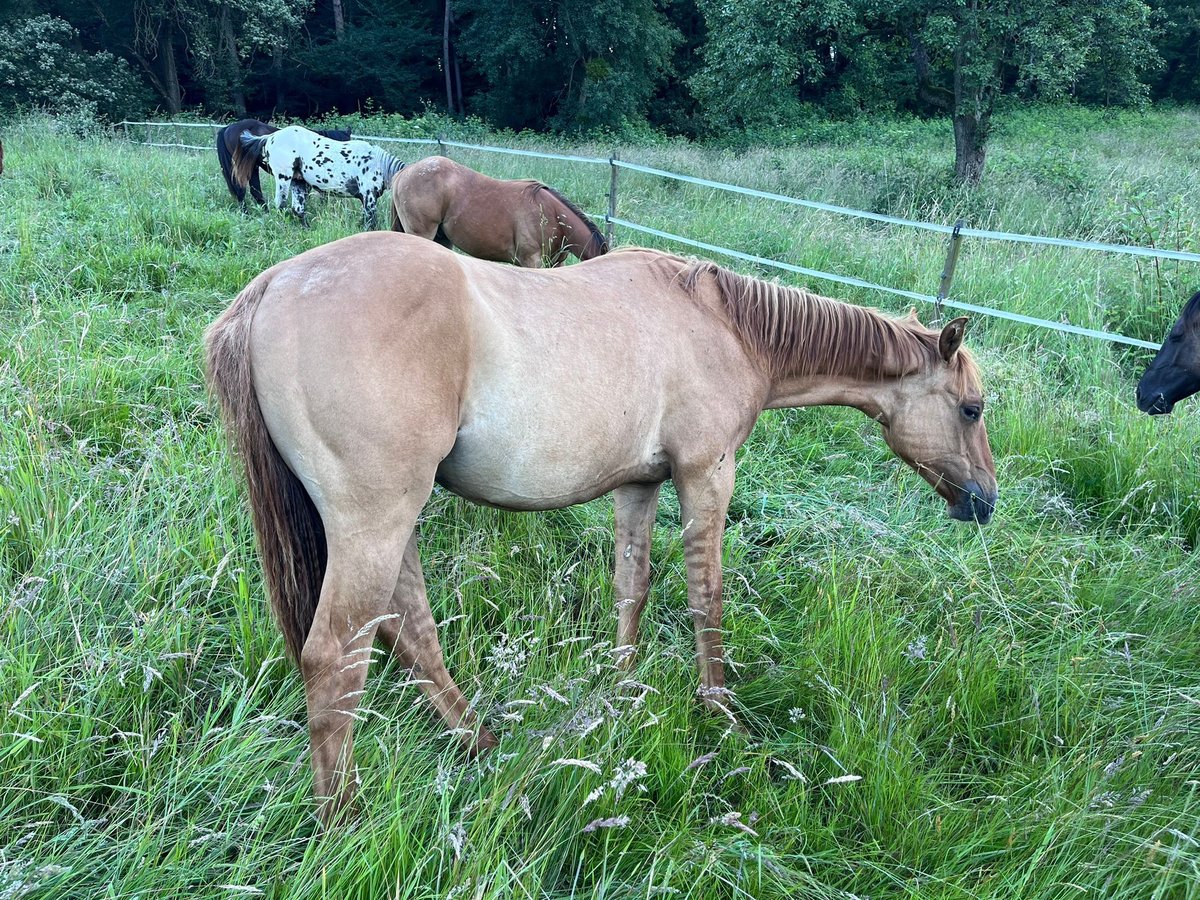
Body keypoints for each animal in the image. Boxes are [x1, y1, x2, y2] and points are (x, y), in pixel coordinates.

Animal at [204, 232, 993, 825]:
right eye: (972, 408)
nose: (984, 501)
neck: (723, 325)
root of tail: (272, 289)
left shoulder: (639, 485)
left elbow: (631, 586)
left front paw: (622, 691)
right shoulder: (707, 473)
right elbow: (707, 598)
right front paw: (722, 716)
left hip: (391, 525)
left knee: (409, 628)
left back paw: (479, 740)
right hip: (376, 518)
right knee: (336, 657)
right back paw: (345, 818)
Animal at [229, 126, 403, 230]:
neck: (377, 163)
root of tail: (269, 137)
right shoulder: (369, 197)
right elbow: (370, 221)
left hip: (298, 182)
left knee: (297, 209)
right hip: (284, 178)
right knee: (281, 205)